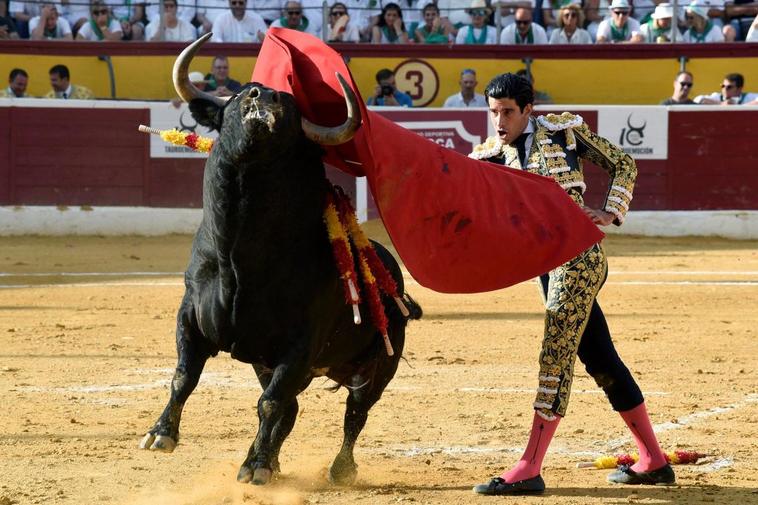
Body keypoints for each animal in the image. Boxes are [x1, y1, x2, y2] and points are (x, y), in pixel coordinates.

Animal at [140, 34, 424, 484]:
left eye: (289, 109)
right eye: (242, 93)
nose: (266, 97)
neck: (238, 256)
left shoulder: (300, 345)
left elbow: (270, 404)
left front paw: (254, 466)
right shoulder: (192, 315)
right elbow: (184, 376)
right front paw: (160, 434)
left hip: (378, 365)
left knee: (353, 413)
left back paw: (337, 469)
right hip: (270, 363)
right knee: (290, 409)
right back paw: (271, 462)